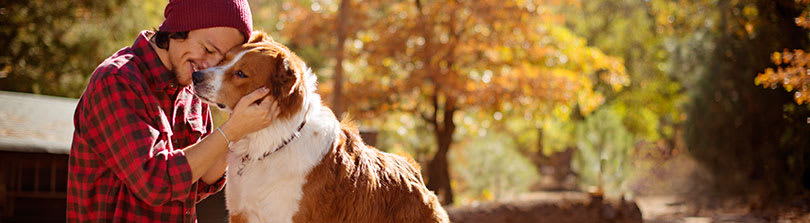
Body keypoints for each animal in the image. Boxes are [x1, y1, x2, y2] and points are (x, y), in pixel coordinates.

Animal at [193, 31, 452, 223]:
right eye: (224, 58)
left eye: (241, 73)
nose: (196, 76)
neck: (270, 142)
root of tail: (414, 174)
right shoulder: (242, 214)